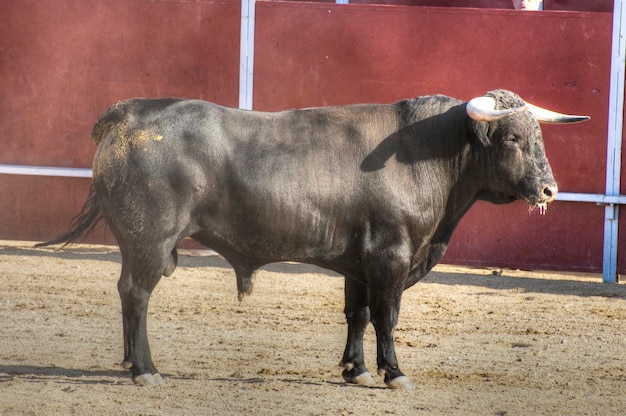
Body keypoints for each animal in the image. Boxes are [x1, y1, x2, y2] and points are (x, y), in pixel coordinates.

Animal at [39, 88, 584, 390]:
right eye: (512, 137)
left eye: (538, 135)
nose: (549, 189)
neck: (424, 154)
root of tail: (128, 112)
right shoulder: (391, 256)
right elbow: (386, 317)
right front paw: (393, 373)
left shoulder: (361, 263)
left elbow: (357, 315)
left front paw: (355, 369)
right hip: (150, 241)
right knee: (137, 294)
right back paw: (146, 370)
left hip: (136, 245)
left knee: (126, 294)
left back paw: (129, 361)